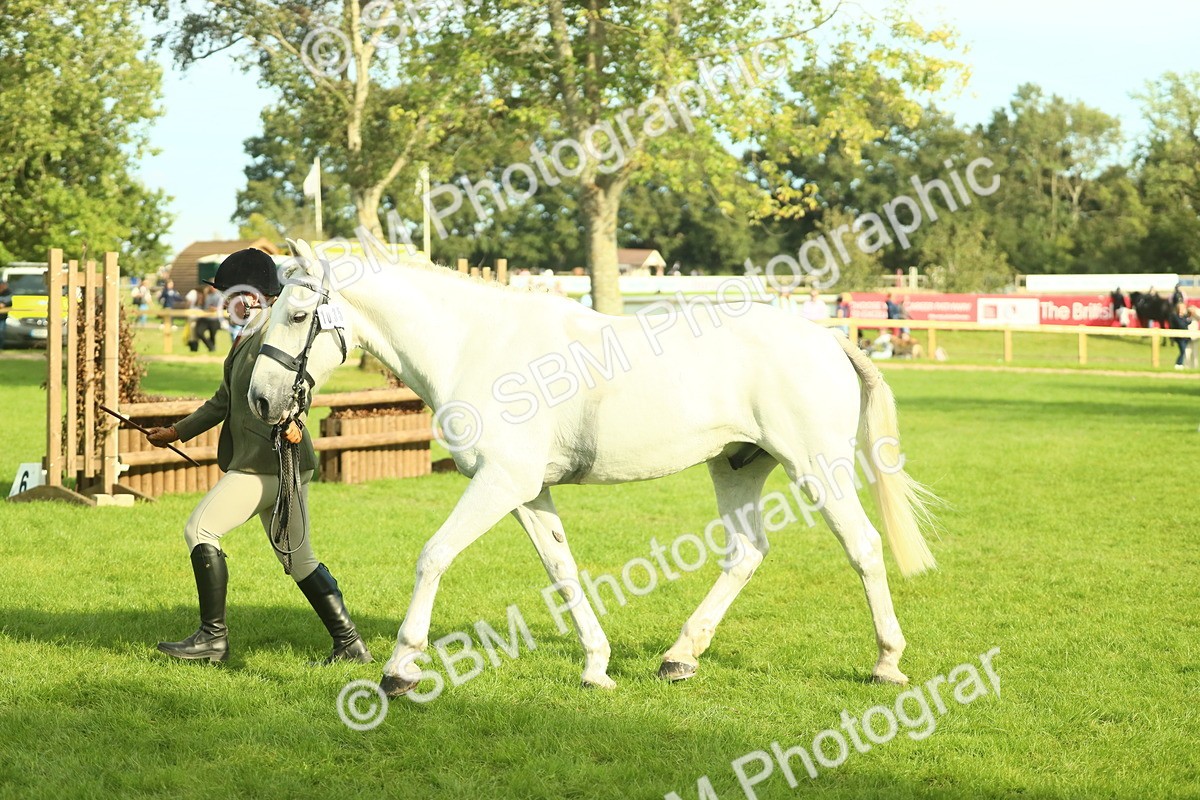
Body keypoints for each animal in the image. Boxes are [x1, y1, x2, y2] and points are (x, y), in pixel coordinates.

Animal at [247, 239, 938, 696]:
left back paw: (886, 662)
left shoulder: (500, 483)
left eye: (295, 315)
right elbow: (562, 571)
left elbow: (434, 555)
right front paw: (597, 666)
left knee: (863, 546)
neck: (476, 344)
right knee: (746, 552)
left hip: (816, 467)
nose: (258, 400)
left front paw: (401, 668)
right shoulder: (528, 492)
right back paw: (679, 656)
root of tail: (827, 337)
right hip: (737, 468)